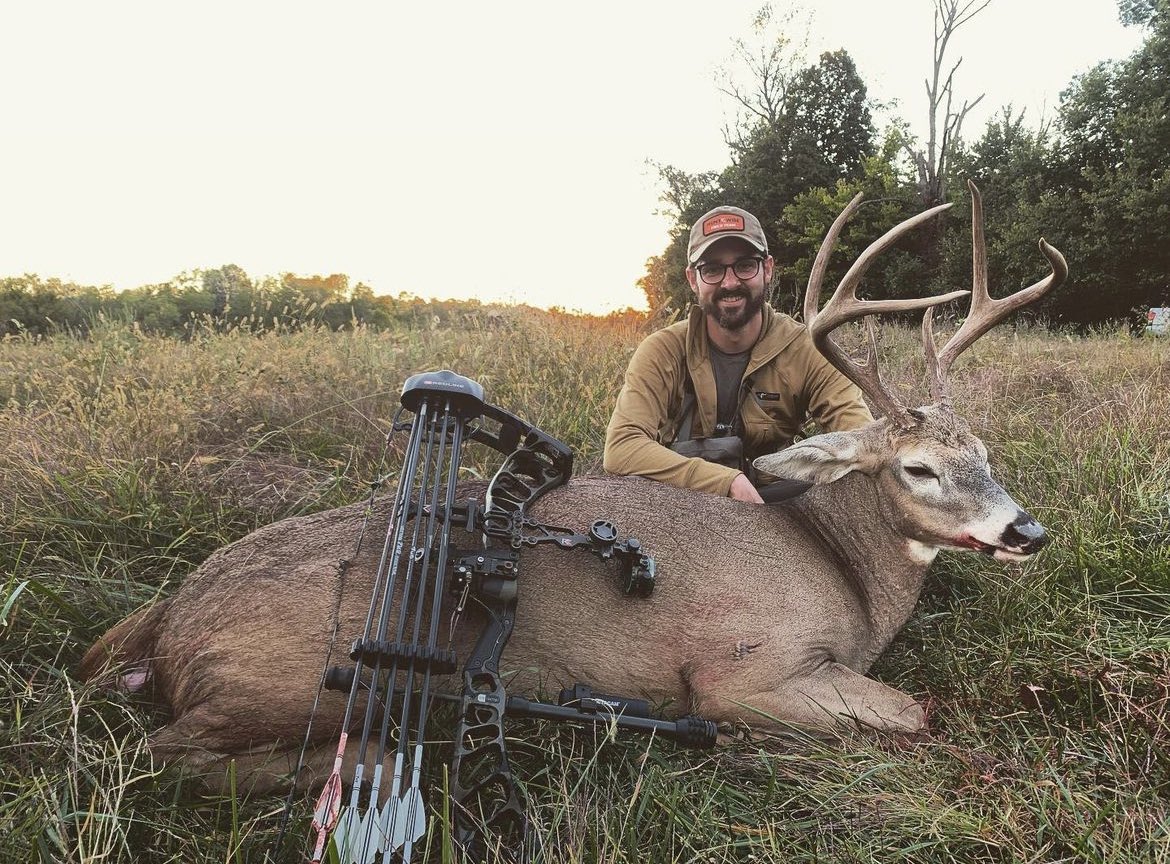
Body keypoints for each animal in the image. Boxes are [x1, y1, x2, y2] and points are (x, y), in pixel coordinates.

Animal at [81, 181, 1067, 793]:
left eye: (986, 450)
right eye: (918, 467)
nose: (1028, 533)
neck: (842, 570)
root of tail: (166, 622)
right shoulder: (738, 670)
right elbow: (912, 713)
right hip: (290, 678)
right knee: (165, 753)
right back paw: (373, 761)